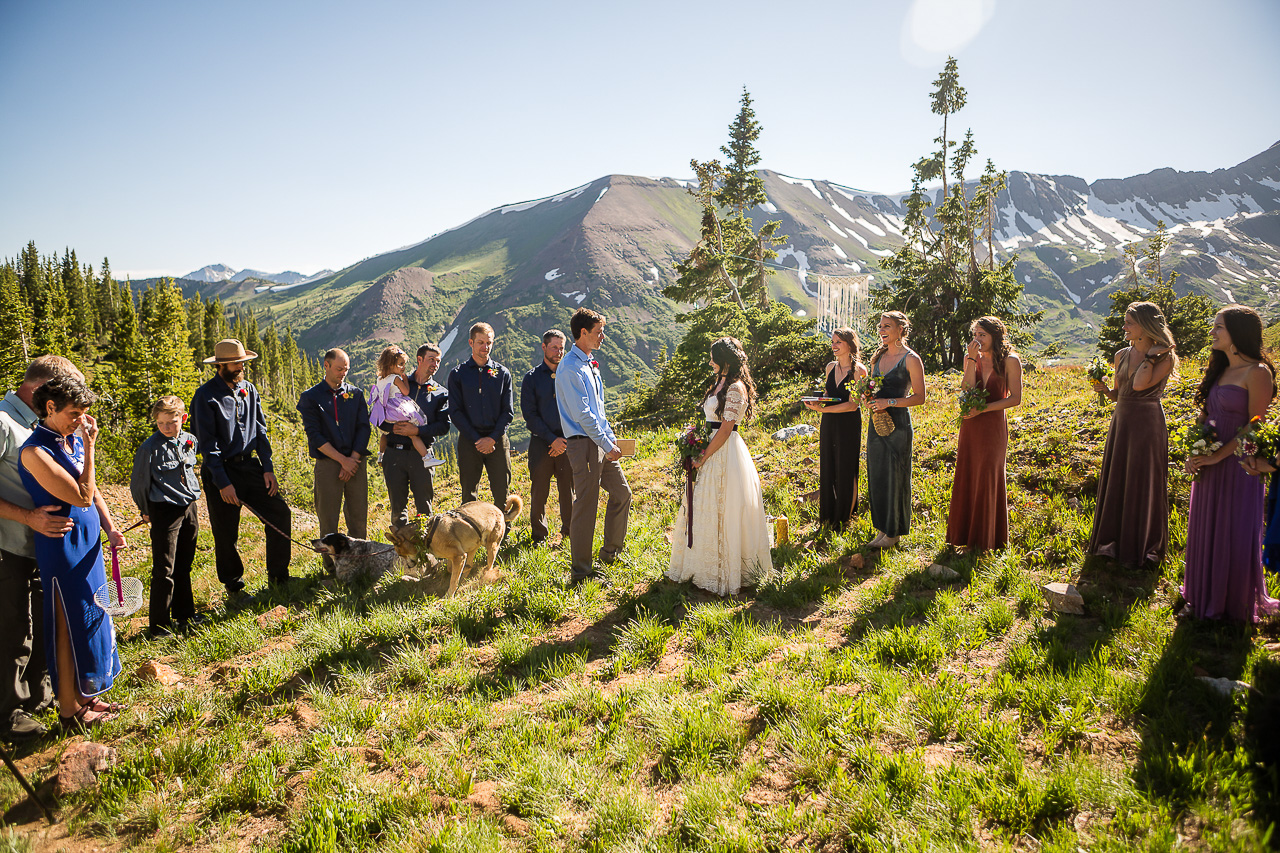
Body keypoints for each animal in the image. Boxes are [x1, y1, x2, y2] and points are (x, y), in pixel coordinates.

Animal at [386, 494, 522, 594]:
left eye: (401, 554)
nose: (409, 566)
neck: (426, 533)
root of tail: (500, 511)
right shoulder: (456, 556)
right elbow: (450, 569)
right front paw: (458, 573)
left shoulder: (458, 556)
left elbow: (453, 580)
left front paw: (449, 595)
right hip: (473, 546)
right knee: (470, 563)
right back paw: (467, 573)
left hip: (492, 546)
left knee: (489, 565)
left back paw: (485, 576)